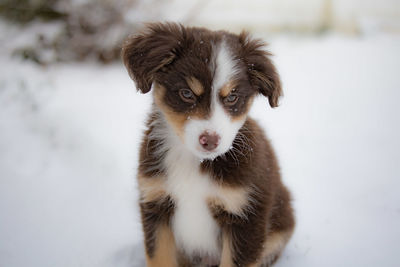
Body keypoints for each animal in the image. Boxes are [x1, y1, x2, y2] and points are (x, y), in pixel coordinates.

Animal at [123, 23, 296, 267]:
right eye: (187, 93)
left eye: (232, 97)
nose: (210, 140)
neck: (193, 162)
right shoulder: (156, 204)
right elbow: (159, 258)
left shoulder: (246, 216)